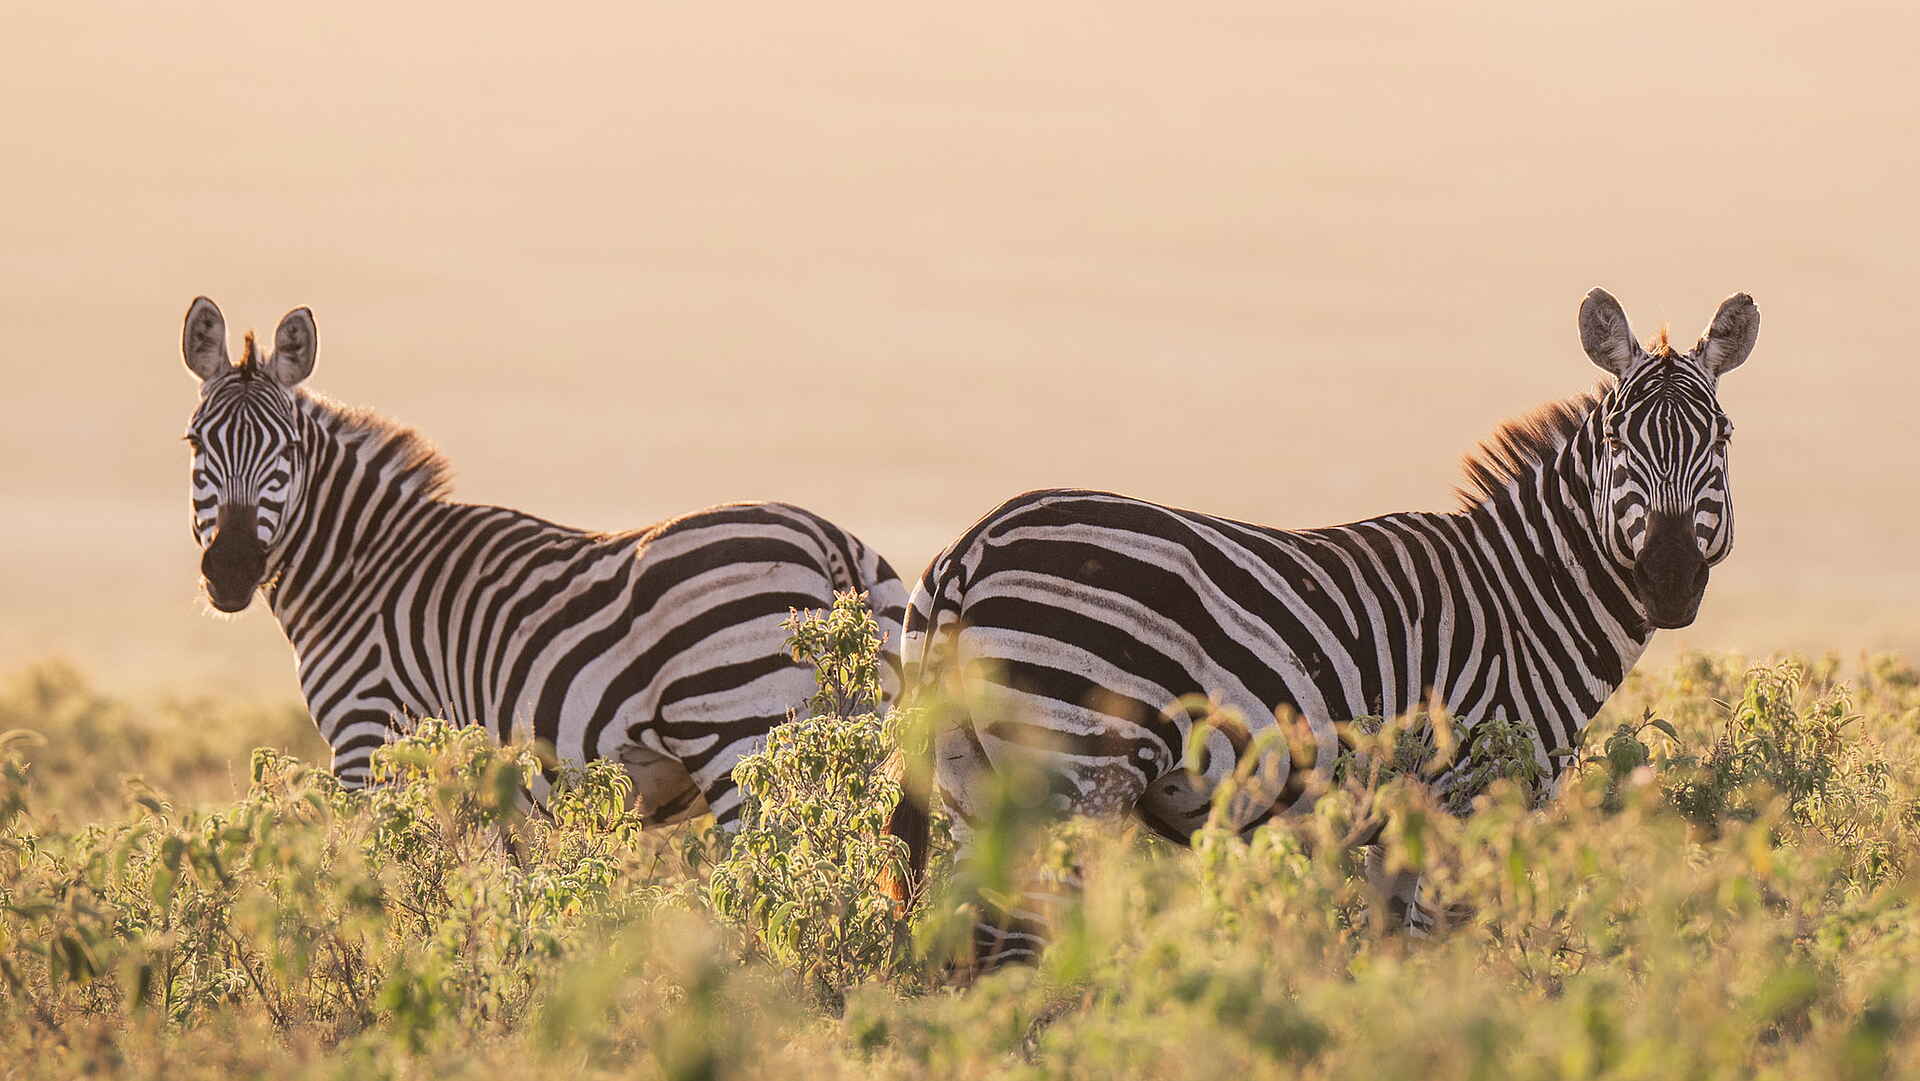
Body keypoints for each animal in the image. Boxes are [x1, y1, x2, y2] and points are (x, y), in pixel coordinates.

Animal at [178, 297, 906, 827]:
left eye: (288, 448)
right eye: (195, 442)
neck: (362, 568)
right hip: (857, 746)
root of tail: (826, 540)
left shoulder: (369, 734)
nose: (232, 569)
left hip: (740, 736)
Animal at [887, 288, 1759, 969]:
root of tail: (972, 545)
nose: (1670, 578)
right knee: (1019, 949)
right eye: (1616, 440)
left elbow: (1393, 955)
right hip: (1074, 769)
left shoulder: (1401, 822)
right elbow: (1439, 960)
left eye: (1721, 438)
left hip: (971, 780)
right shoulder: (1472, 798)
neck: (1525, 596)